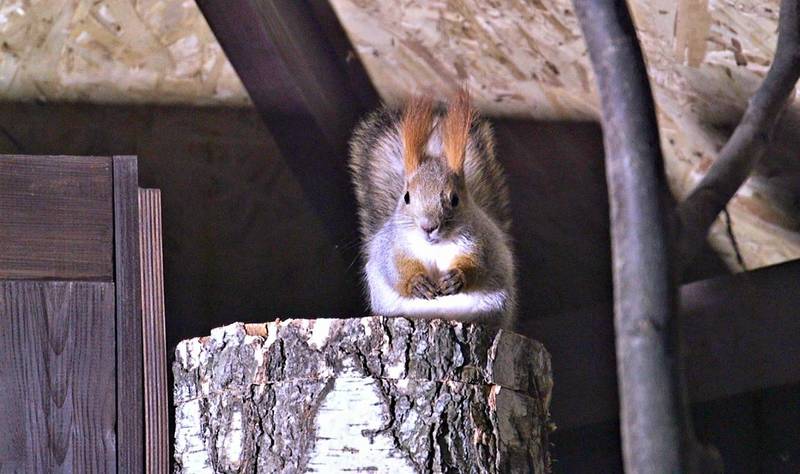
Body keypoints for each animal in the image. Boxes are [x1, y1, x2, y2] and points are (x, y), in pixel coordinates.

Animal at [350, 89, 520, 328]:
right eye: (407, 197)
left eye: (454, 199)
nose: (428, 227)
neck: (434, 247)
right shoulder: (392, 246)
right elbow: (395, 268)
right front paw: (416, 283)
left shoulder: (481, 243)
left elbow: (478, 266)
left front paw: (457, 277)